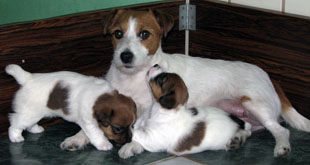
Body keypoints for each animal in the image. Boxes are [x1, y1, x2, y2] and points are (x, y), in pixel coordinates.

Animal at [5, 64, 136, 151]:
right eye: (118, 128)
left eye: (132, 125)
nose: (129, 141)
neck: (101, 97)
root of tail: (28, 78)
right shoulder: (88, 122)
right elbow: (97, 133)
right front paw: (103, 144)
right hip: (30, 113)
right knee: (15, 123)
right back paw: (15, 136)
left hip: (34, 113)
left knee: (28, 124)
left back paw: (35, 129)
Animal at [117, 64, 251, 159]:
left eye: (162, 79)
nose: (156, 64)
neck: (156, 109)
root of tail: (236, 119)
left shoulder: (154, 137)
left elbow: (138, 133)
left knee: (247, 132)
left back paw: (237, 139)